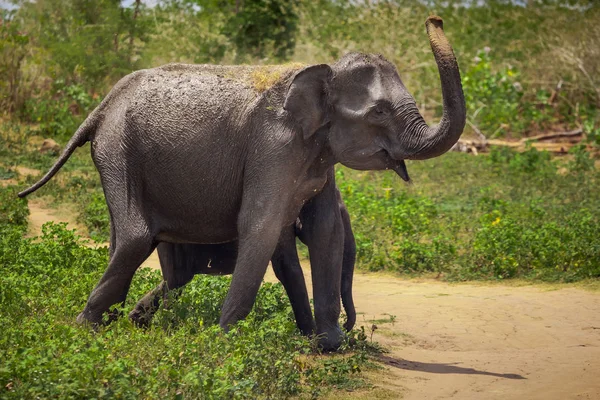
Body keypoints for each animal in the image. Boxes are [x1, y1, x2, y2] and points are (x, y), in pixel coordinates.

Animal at [131, 177, 356, 336]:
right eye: (342, 213)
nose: (346, 325)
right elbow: (287, 268)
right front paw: (311, 337)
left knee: (177, 280)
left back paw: (138, 320)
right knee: (176, 280)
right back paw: (168, 326)